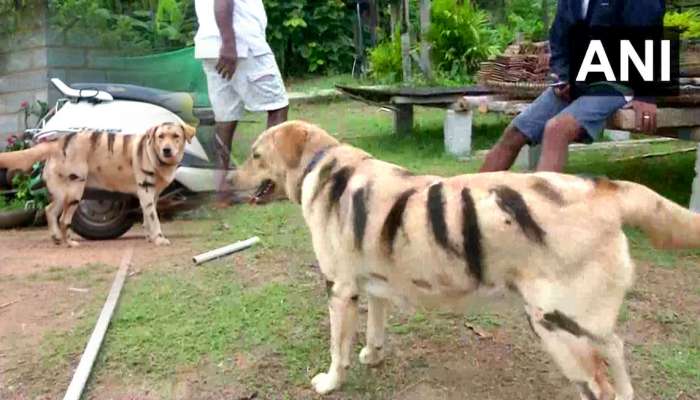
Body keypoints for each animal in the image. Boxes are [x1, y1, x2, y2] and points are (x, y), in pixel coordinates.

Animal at [0, 122, 194, 247]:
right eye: (161, 137)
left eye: (176, 136)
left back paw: (56, 238)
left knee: (49, 210)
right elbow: (154, 219)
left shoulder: (151, 195)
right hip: (75, 193)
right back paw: (69, 242)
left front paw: (150, 238)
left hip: (63, 194)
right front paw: (159, 239)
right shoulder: (145, 191)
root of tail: (57, 143)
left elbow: (148, 218)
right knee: (64, 220)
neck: (153, 154)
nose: (166, 150)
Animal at [231, 120, 700, 398]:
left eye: (255, 155)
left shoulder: (340, 290)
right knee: (617, 350)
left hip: (559, 327)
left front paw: (331, 381)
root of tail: (604, 188)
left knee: (599, 383)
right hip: (585, 321)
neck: (320, 165)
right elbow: (375, 331)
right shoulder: (374, 286)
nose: (228, 182)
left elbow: (336, 348)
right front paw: (373, 356)